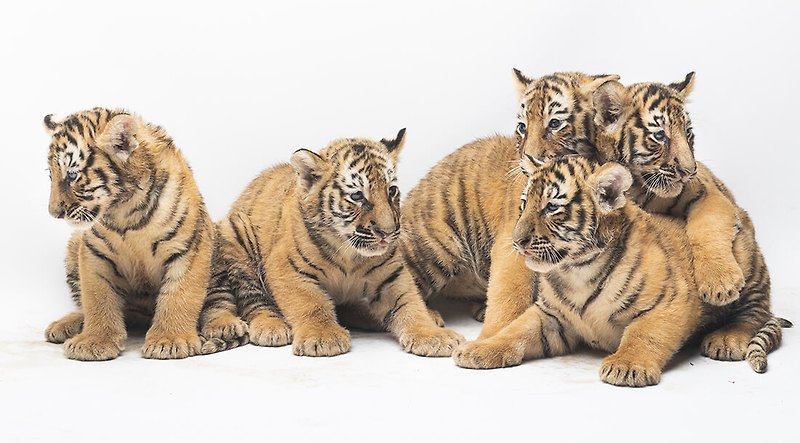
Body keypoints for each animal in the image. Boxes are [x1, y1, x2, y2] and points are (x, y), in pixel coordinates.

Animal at [43, 107, 212, 360]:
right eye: (51, 176)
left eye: (72, 175)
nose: (53, 213)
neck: (123, 211)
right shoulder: (93, 253)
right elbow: (96, 297)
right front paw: (94, 341)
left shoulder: (189, 245)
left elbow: (180, 294)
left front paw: (170, 340)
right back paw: (65, 325)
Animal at [200, 131, 462, 358]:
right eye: (357, 196)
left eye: (392, 190)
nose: (387, 233)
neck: (350, 253)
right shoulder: (286, 268)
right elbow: (310, 303)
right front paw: (323, 338)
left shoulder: (391, 274)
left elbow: (409, 304)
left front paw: (432, 336)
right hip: (237, 236)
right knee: (250, 299)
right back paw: (269, 327)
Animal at [456, 158, 788, 386]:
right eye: (523, 204)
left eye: (551, 208)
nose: (516, 241)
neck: (576, 269)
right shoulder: (550, 316)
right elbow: (515, 331)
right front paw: (479, 349)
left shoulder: (671, 301)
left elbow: (645, 334)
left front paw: (627, 366)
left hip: (746, 265)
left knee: (755, 311)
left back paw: (727, 339)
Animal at [592, 75, 792, 368]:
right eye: (659, 135)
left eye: (687, 133)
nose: (690, 170)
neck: (639, 188)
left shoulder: (709, 196)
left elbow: (707, 229)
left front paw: (720, 284)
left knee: (755, 311)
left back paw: (728, 338)